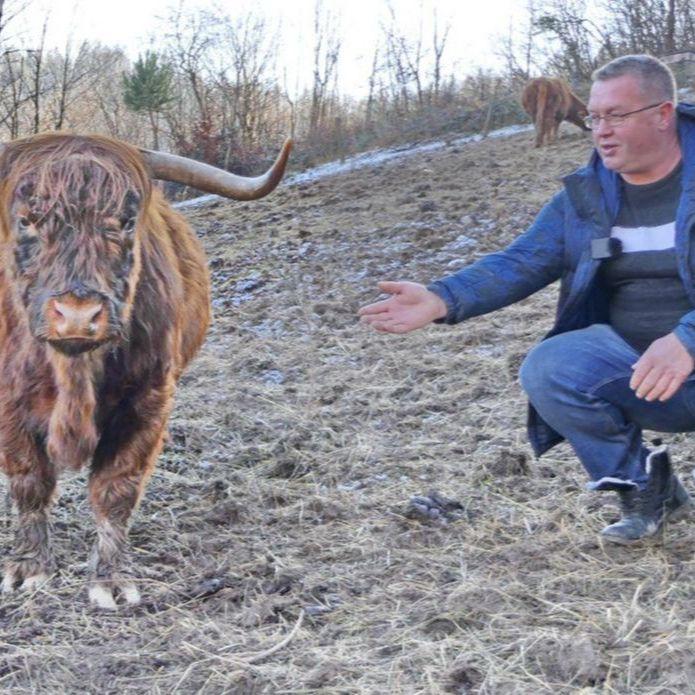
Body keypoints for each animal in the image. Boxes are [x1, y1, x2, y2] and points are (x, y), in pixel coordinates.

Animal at [0, 132, 290, 608]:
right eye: (26, 219)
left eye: (125, 220)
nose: (77, 315)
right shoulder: (10, 406)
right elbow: (30, 483)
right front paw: (28, 569)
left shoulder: (148, 400)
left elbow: (116, 488)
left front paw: (112, 580)